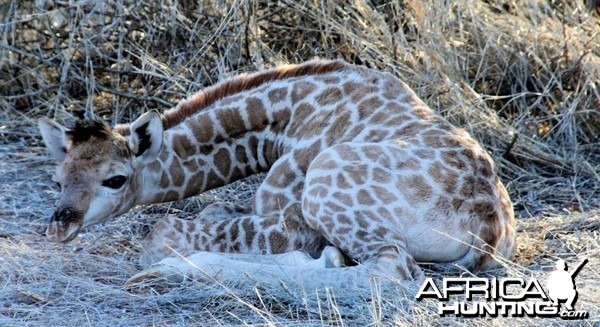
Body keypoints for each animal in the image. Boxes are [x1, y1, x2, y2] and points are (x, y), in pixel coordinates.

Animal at [38, 59, 516, 290]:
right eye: (58, 179)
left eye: (115, 179)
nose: (60, 224)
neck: (281, 121)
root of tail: (489, 230)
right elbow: (211, 212)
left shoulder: (294, 219)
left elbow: (161, 234)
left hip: (325, 181)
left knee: (391, 270)